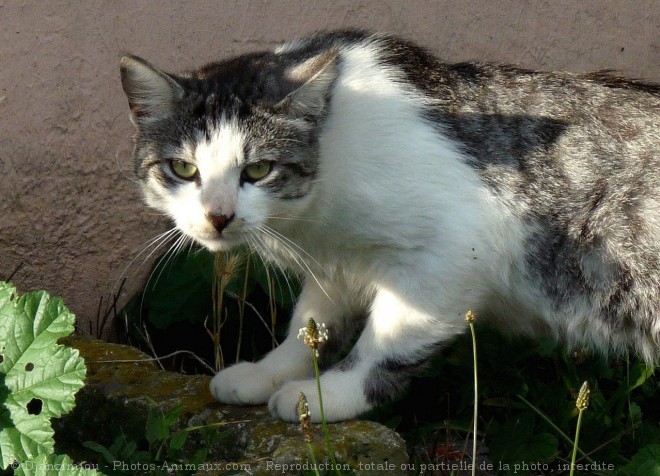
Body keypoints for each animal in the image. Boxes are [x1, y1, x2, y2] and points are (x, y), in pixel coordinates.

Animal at [120, 31, 660, 422]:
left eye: (257, 170)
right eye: (182, 168)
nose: (218, 215)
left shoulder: (457, 248)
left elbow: (384, 343)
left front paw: (326, 396)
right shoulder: (336, 263)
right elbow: (311, 325)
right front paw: (268, 373)